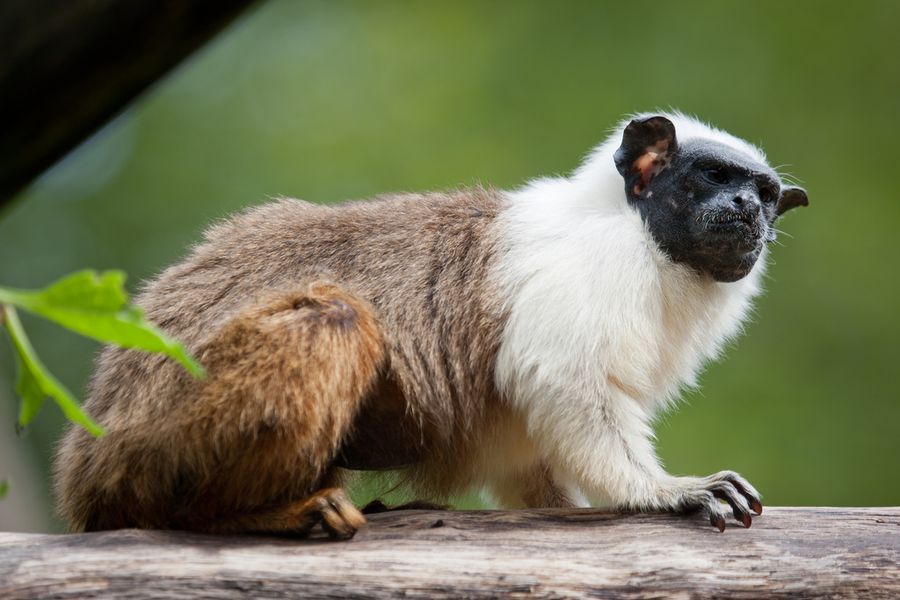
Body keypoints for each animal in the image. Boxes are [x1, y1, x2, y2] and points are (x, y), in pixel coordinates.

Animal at [54, 111, 808, 536]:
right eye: (711, 178)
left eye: (764, 194)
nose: (747, 210)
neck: (636, 233)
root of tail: (91, 454)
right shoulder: (588, 277)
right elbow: (563, 383)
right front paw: (661, 494)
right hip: (162, 432)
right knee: (333, 317)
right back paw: (245, 515)